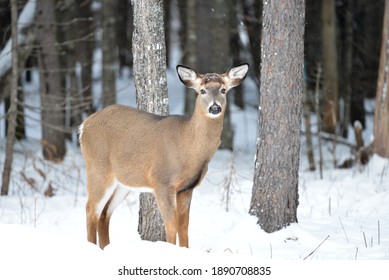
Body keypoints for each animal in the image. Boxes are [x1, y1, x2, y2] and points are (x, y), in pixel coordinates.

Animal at [79, 62, 249, 248]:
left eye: (223, 90)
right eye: (202, 90)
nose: (215, 107)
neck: (188, 149)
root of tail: (84, 125)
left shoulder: (186, 188)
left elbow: (184, 226)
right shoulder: (161, 181)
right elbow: (171, 224)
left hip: (123, 182)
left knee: (104, 214)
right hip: (98, 167)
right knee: (90, 209)